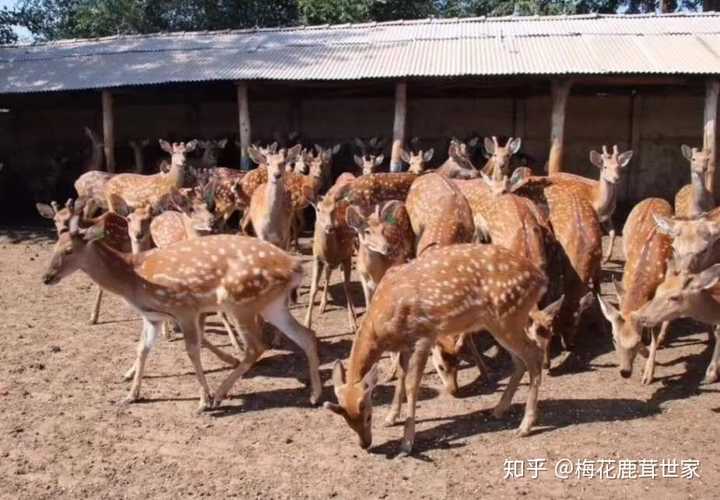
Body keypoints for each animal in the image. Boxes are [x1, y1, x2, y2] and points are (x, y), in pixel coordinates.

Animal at [40, 200, 320, 410]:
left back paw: (219, 395)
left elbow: (192, 351)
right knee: (306, 335)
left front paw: (203, 399)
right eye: (54, 246)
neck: (133, 278)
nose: (46, 277)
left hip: (240, 301)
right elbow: (142, 349)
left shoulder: (184, 307)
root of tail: (295, 267)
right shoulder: (152, 316)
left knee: (256, 347)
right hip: (273, 304)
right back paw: (315, 396)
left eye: (69, 250)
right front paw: (131, 395)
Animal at [306, 176, 358, 332]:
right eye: (318, 209)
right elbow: (313, 289)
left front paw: (353, 323)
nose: (330, 227)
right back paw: (323, 305)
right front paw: (306, 323)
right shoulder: (317, 258)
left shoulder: (346, 256)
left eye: (334, 210)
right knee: (328, 275)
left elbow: (347, 287)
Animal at [324, 242, 548, 454]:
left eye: (369, 415)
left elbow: (412, 385)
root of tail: (541, 279)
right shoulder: (404, 344)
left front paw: (407, 443)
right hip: (499, 323)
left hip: (508, 317)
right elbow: (401, 377)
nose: (365, 444)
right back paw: (499, 409)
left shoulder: (424, 335)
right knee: (519, 361)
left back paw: (525, 425)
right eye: (346, 420)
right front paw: (391, 417)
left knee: (533, 354)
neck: (381, 327)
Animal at [596, 197, 676, 384]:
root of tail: (656, 198)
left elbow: (654, 332)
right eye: (614, 338)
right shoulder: (623, 289)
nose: (624, 372)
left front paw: (648, 373)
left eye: (636, 341)